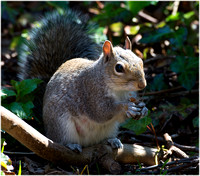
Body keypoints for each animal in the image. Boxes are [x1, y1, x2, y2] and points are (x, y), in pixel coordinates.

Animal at [18, 10, 148, 152]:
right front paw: (126, 107)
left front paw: (143, 108)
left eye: (140, 60)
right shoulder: (91, 92)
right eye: (118, 68)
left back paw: (112, 140)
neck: (119, 90)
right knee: (61, 140)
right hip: (62, 125)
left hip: (110, 128)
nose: (142, 85)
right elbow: (101, 112)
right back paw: (71, 145)